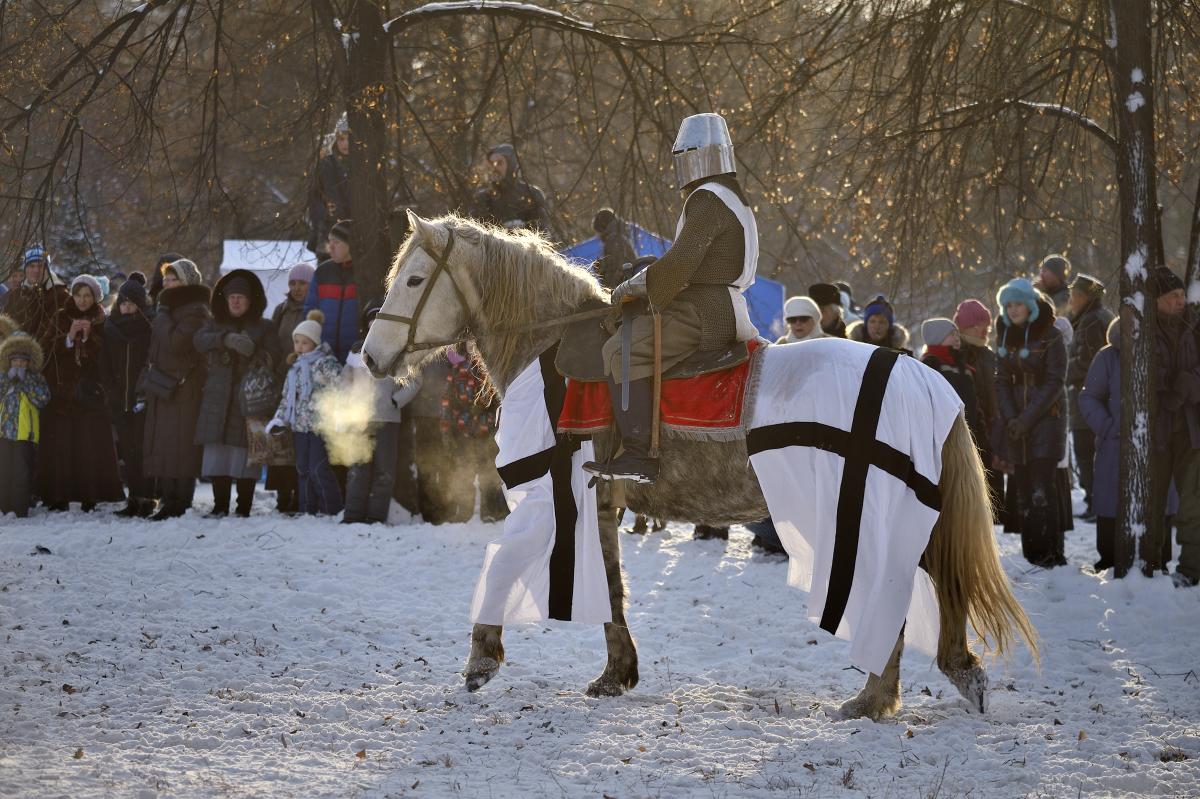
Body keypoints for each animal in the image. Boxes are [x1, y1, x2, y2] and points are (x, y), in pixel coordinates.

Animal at [360, 211, 1036, 719]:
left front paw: (481, 660)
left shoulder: (555, 494)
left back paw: (874, 697)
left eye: (416, 279)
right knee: (939, 581)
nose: (371, 356)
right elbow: (612, 587)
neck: (551, 350)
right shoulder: (602, 501)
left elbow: (504, 563)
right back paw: (946, 676)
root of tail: (925, 379)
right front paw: (616, 674)